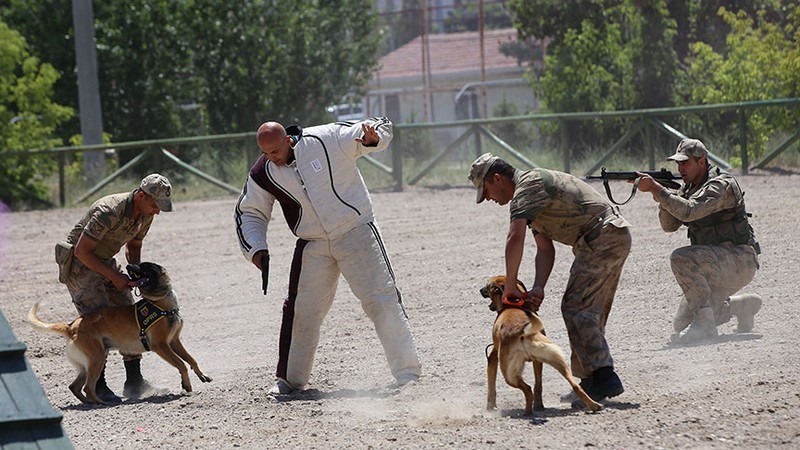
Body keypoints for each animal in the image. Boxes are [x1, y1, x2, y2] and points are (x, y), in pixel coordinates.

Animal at [28, 260, 212, 404]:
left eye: (145, 264)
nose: (129, 265)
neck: (160, 302)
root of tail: (71, 326)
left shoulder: (174, 341)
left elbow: (191, 359)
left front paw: (202, 375)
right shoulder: (161, 346)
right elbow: (181, 364)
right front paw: (186, 384)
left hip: (88, 363)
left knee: (75, 387)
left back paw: (88, 402)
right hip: (97, 357)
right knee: (88, 387)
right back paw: (102, 403)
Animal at [482, 274, 600, 414]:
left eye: (488, 286)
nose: (480, 290)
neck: (512, 306)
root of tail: (523, 331)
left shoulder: (493, 357)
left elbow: (491, 388)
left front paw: (490, 407)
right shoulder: (537, 362)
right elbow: (538, 384)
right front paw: (539, 405)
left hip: (509, 374)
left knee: (527, 389)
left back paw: (527, 412)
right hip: (558, 361)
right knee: (575, 386)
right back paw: (594, 405)